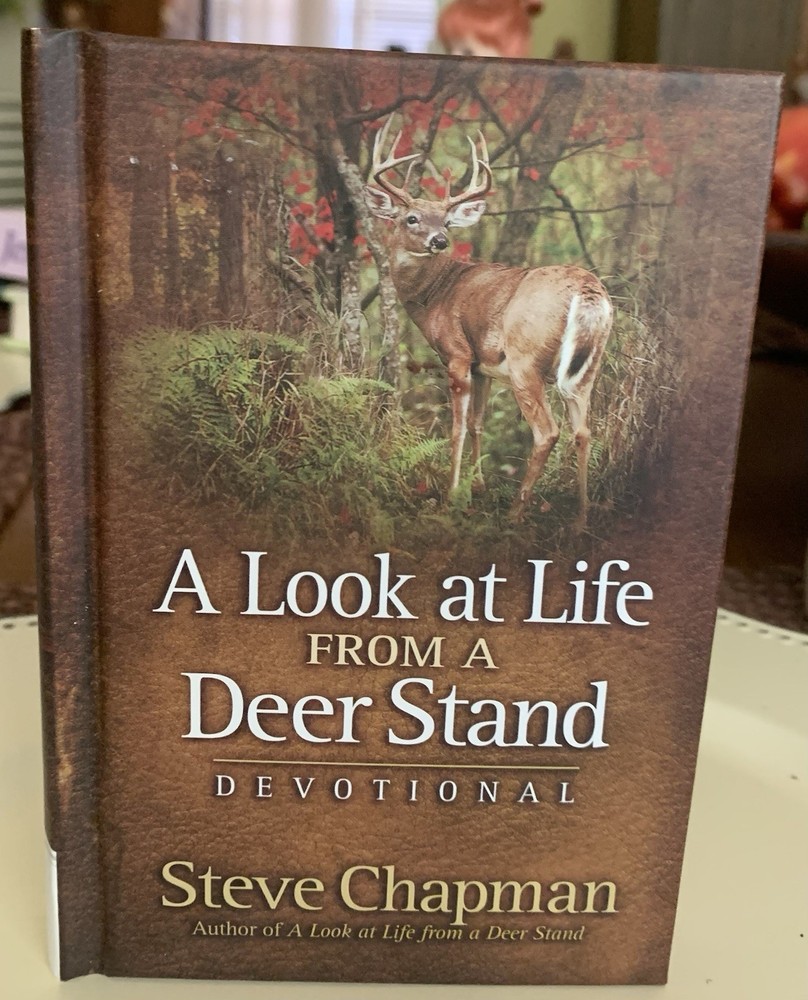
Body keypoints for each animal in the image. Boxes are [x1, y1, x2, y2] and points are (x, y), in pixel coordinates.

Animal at [364, 118, 613, 529]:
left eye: (447, 221)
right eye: (411, 218)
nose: (439, 240)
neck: (436, 294)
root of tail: (588, 290)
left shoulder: (457, 353)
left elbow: (457, 427)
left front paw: (451, 495)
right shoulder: (483, 366)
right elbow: (478, 422)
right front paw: (476, 487)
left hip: (526, 361)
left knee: (547, 432)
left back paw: (516, 512)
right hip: (588, 368)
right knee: (583, 431)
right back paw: (580, 520)